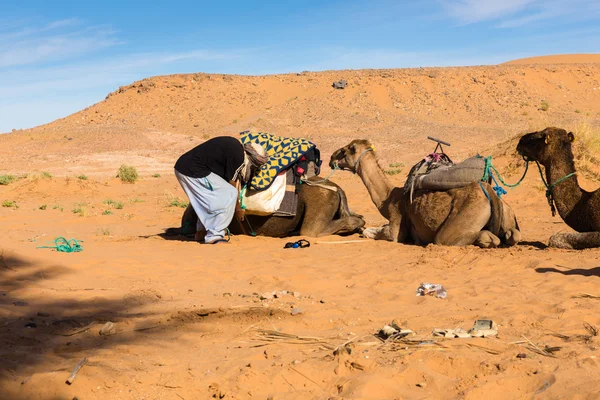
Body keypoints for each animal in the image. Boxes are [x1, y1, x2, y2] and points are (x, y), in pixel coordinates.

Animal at [328, 141, 520, 247]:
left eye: (346, 149)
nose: (331, 157)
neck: (388, 198)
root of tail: (490, 193)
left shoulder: (396, 226)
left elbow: (372, 232)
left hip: (461, 220)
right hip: (507, 213)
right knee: (512, 235)